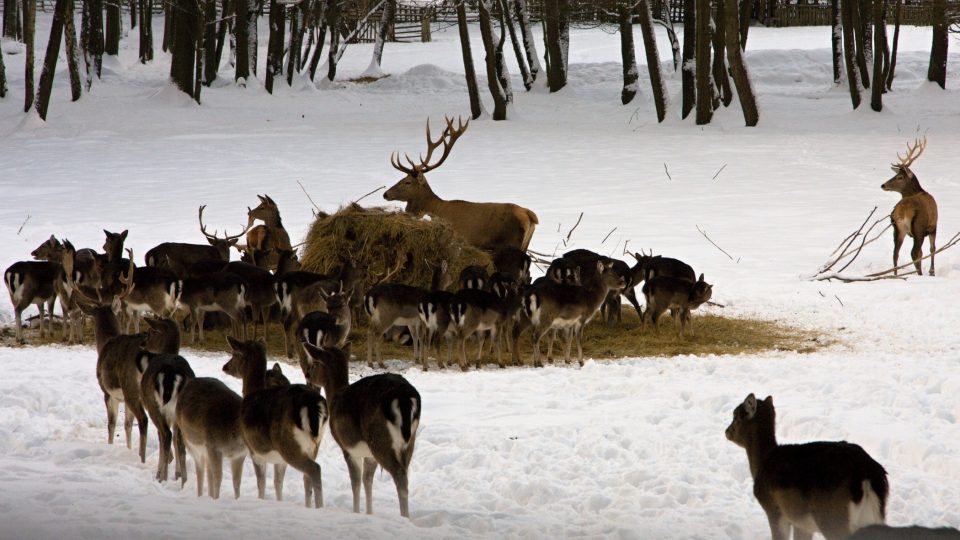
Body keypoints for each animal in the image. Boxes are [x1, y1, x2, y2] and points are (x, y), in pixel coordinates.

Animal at [222, 340, 330, 508]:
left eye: (235, 354)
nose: (225, 367)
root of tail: (313, 404)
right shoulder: (280, 460)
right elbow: (278, 482)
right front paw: (280, 501)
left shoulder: (254, 450)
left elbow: (261, 483)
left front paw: (261, 499)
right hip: (313, 445)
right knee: (307, 478)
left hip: (288, 443)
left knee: (314, 469)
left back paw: (319, 507)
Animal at [302, 344, 418, 516]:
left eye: (315, 362)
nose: (307, 374)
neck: (334, 397)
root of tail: (404, 398)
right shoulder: (369, 454)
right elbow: (367, 480)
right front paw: (369, 513)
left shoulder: (347, 447)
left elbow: (355, 482)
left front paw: (356, 511)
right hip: (408, 442)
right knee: (405, 474)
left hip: (379, 439)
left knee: (400, 476)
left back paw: (405, 518)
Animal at [384, 116, 540, 251]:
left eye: (407, 182)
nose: (385, 194)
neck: (429, 207)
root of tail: (530, 215)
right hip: (525, 244)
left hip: (511, 242)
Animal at [728, 392, 892, 540]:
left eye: (735, 416)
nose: (726, 431)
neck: (762, 462)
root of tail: (866, 476)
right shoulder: (801, 524)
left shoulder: (774, 510)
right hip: (873, 517)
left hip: (833, 518)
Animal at [880, 137, 940, 276]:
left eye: (900, 177)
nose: (883, 185)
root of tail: (901, 212)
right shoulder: (933, 225)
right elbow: (932, 248)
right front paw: (932, 272)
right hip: (918, 227)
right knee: (914, 252)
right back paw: (920, 274)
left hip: (897, 229)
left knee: (895, 253)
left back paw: (895, 275)